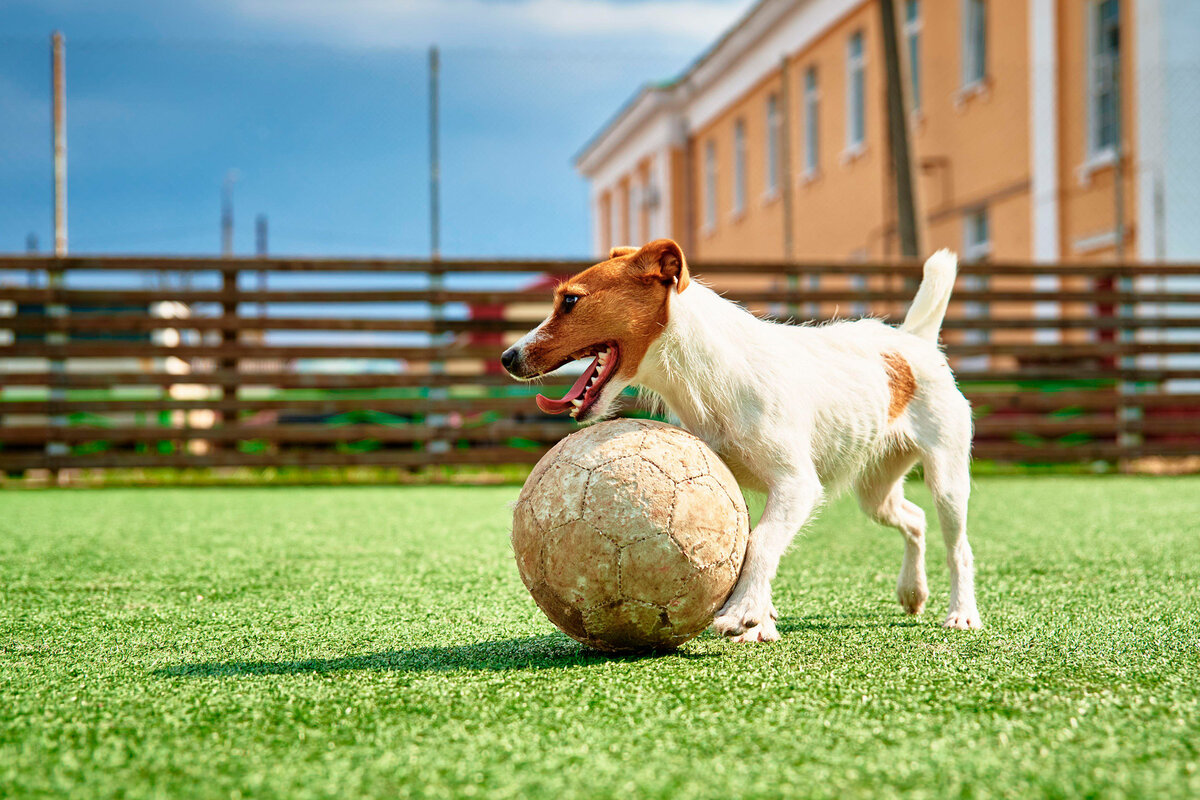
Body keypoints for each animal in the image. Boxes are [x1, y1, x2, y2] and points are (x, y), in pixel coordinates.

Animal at [501, 239, 979, 642]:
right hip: (876, 491)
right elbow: (755, 540)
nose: (507, 356)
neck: (704, 373)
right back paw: (913, 591)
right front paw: (760, 620)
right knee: (915, 519)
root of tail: (913, 341)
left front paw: (742, 612)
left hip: (948, 478)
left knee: (958, 548)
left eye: (570, 300)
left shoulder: (796, 485)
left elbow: (760, 541)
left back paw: (962, 613)